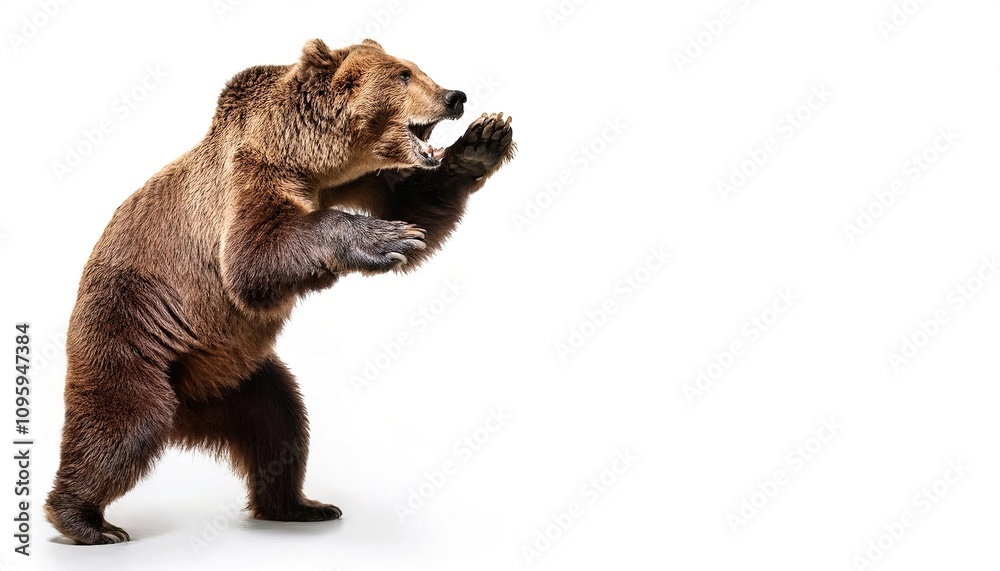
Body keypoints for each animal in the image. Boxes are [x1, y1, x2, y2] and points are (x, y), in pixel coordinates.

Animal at [44, 38, 514, 545]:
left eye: (417, 68)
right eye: (403, 74)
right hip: (130, 329)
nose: (454, 96)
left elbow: (414, 205)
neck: (308, 159)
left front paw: (482, 142)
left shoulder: (355, 180)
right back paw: (86, 521)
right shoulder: (246, 179)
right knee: (124, 420)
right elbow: (253, 257)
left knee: (281, 426)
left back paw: (301, 505)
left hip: (241, 378)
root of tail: (187, 409)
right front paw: (384, 238)